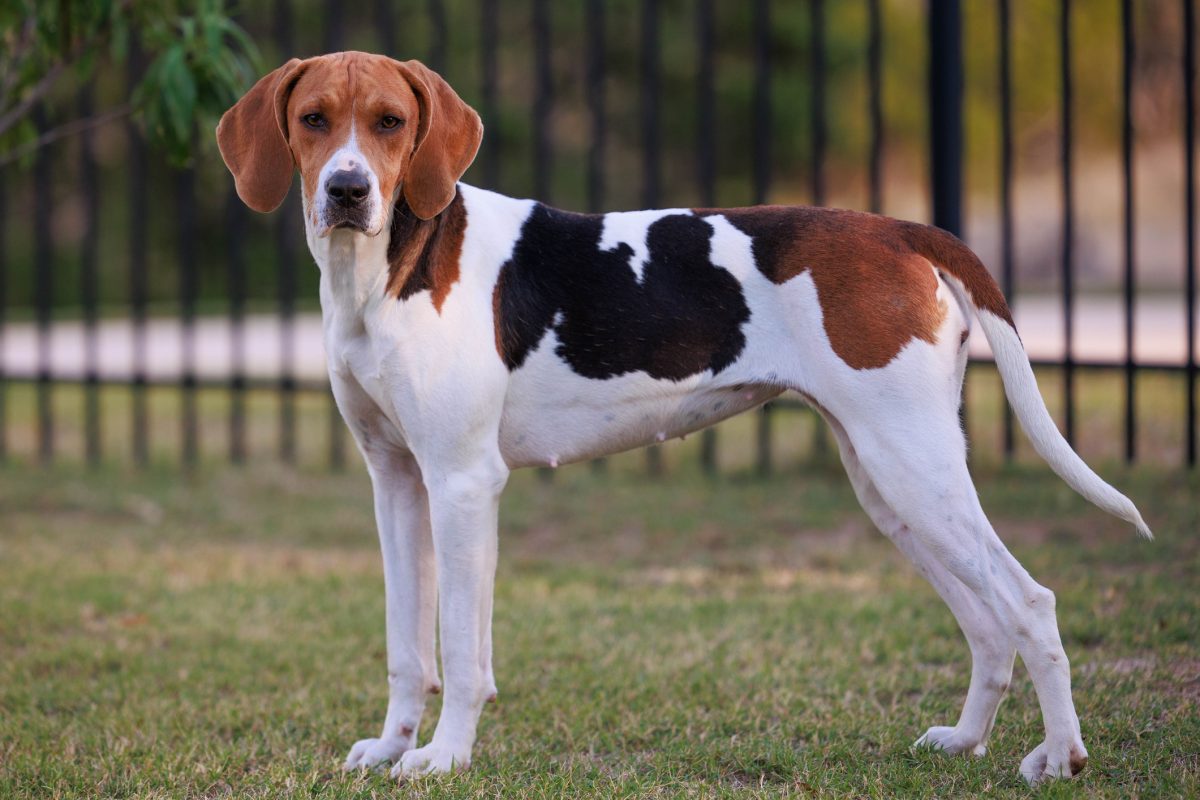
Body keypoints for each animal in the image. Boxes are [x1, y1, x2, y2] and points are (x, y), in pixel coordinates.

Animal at [218, 53, 1152, 786]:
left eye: (391, 122)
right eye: (311, 119)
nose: (347, 190)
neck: (386, 270)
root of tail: (898, 228)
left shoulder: (461, 485)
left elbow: (461, 652)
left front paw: (444, 758)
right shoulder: (398, 485)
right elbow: (408, 648)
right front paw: (390, 748)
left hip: (914, 470)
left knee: (1029, 604)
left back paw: (1059, 757)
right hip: (893, 488)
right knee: (989, 624)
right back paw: (964, 740)